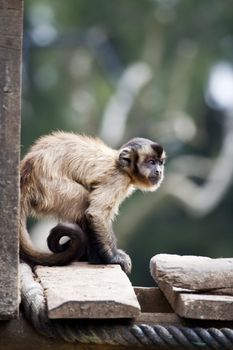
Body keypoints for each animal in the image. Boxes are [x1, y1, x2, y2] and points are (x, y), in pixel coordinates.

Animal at [20, 131, 166, 274]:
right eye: (151, 162)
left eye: (160, 163)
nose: (159, 171)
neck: (121, 167)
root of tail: (27, 176)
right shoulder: (118, 178)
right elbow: (96, 213)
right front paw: (113, 258)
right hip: (50, 189)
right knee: (82, 201)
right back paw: (94, 258)